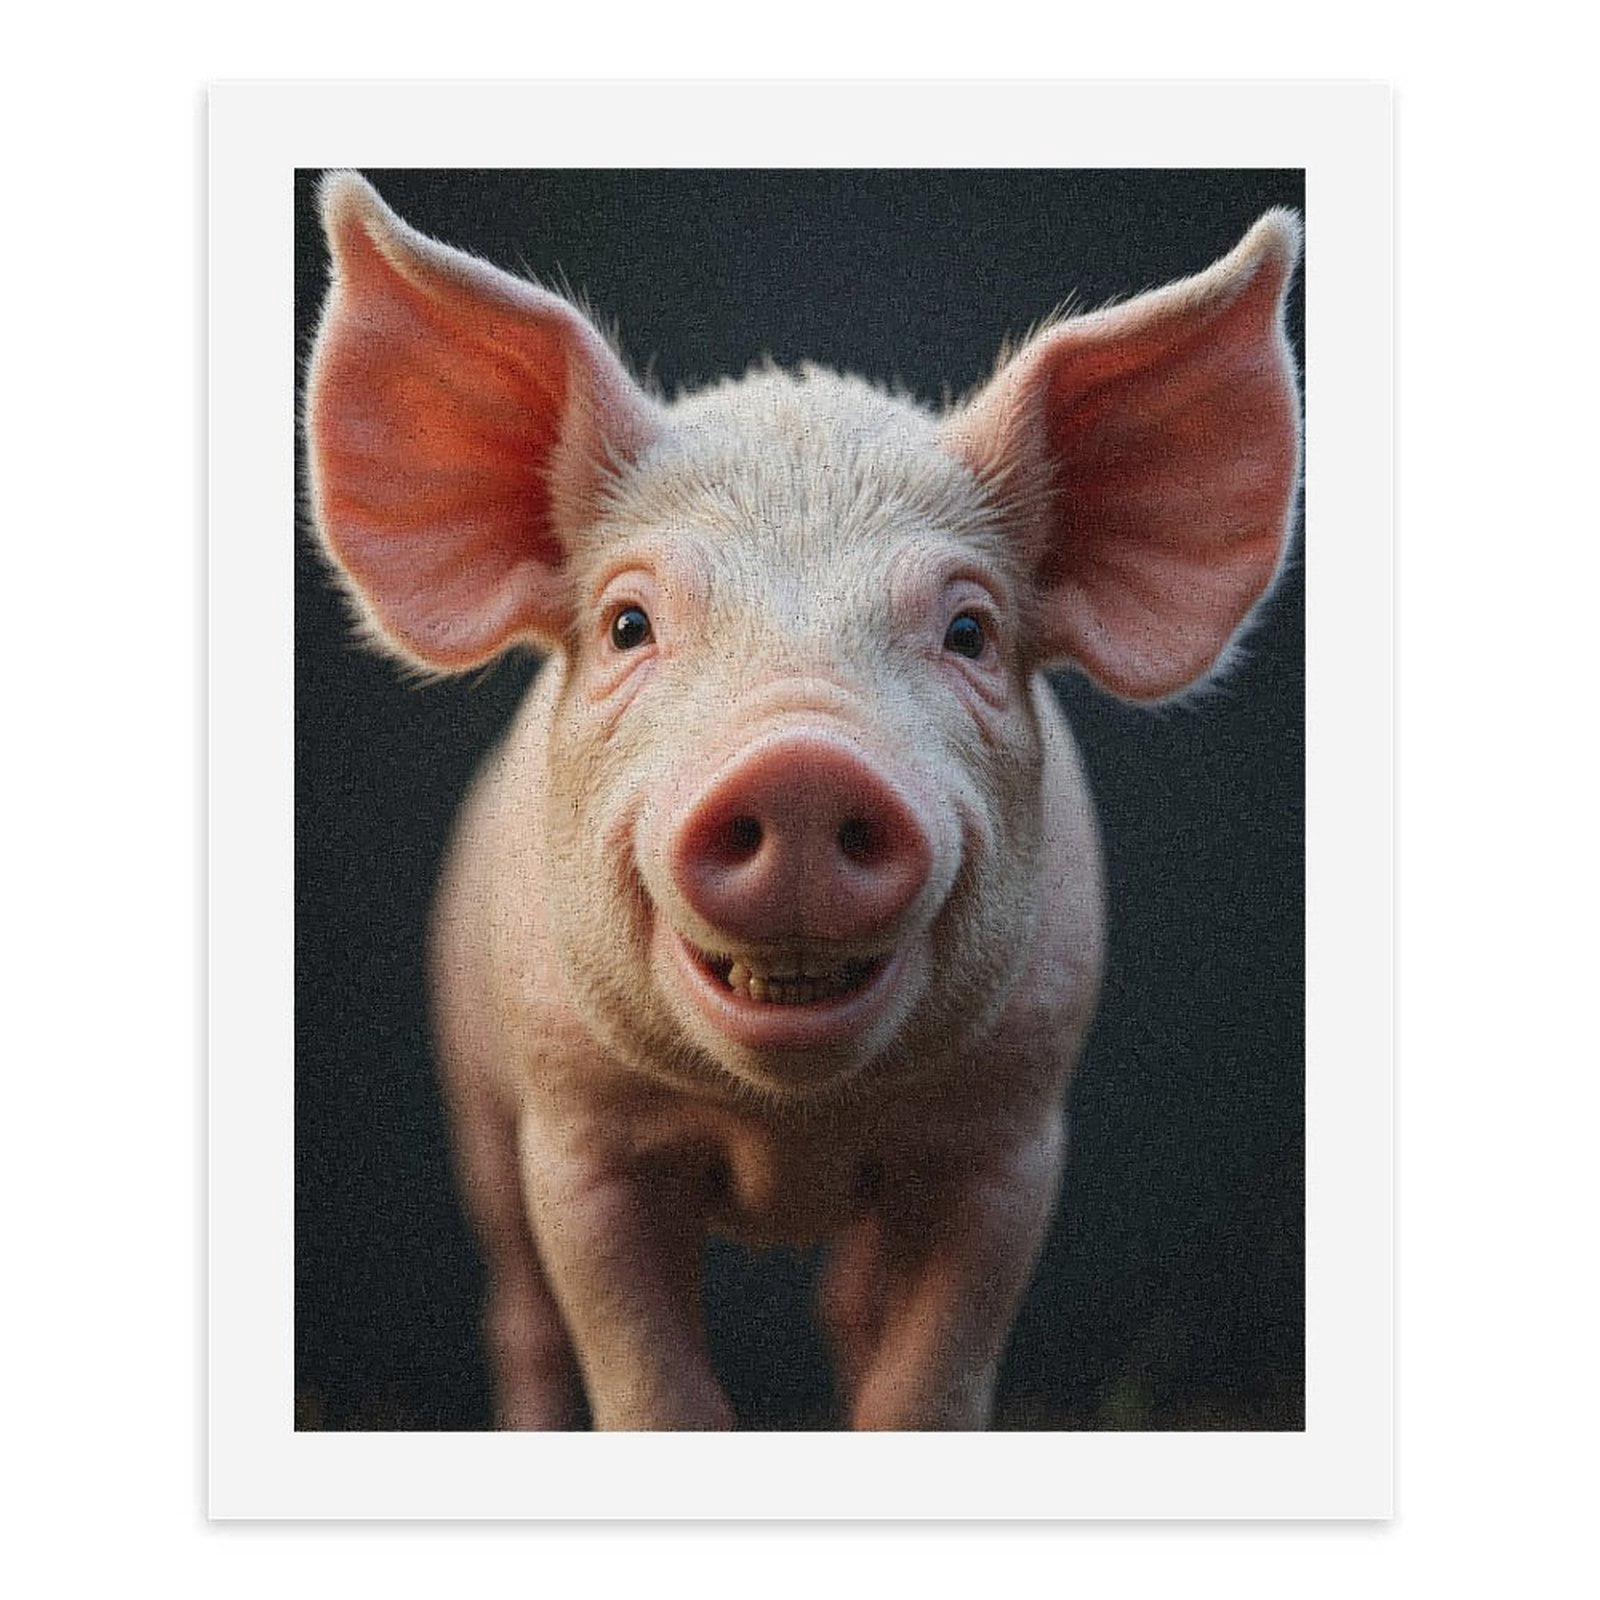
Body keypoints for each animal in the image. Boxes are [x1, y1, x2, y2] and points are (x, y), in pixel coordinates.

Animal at [304, 172, 1302, 1431]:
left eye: (968, 631)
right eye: (628, 623)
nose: (801, 765)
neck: (789, 1127)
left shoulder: (1009, 1136)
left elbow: (930, 1380)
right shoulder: (575, 1135)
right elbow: (648, 1378)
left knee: (850, 1305)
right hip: (471, 1084)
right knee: (520, 1315)